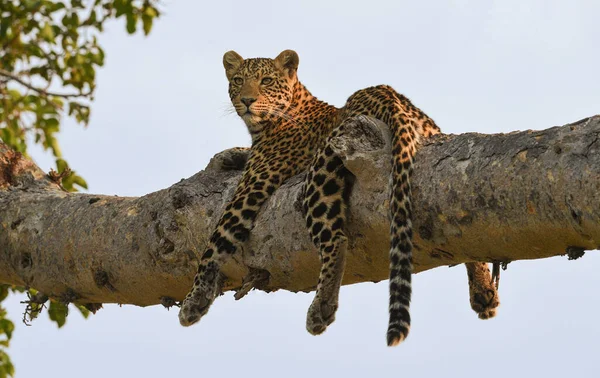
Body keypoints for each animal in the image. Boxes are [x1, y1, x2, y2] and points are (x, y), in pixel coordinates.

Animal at [179, 49, 502, 346]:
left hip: (322, 168)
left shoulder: (253, 185)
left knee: (335, 238)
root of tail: (389, 97)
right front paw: (228, 156)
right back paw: (483, 291)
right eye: (238, 81)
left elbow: (214, 242)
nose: (246, 100)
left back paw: (321, 308)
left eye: (266, 81)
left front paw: (194, 301)